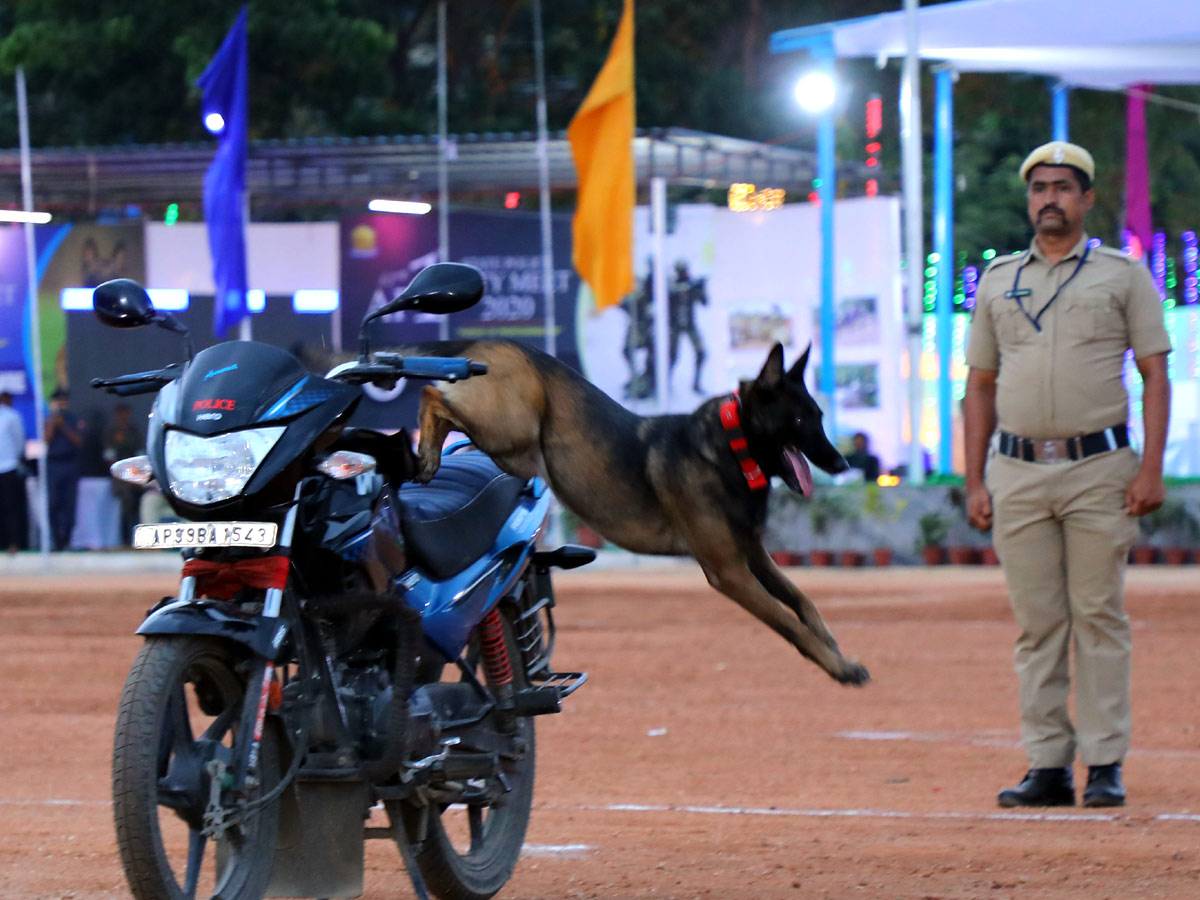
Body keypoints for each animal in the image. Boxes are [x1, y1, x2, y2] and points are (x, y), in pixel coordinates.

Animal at [408, 340, 868, 686]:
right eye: (799, 420)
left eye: (819, 416)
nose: (843, 463)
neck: (733, 447)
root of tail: (495, 341)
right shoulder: (731, 572)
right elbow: (789, 623)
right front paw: (838, 668)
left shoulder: (753, 556)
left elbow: (805, 603)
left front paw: (834, 649)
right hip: (511, 427)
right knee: (432, 395)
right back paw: (425, 453)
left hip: (513, 447)